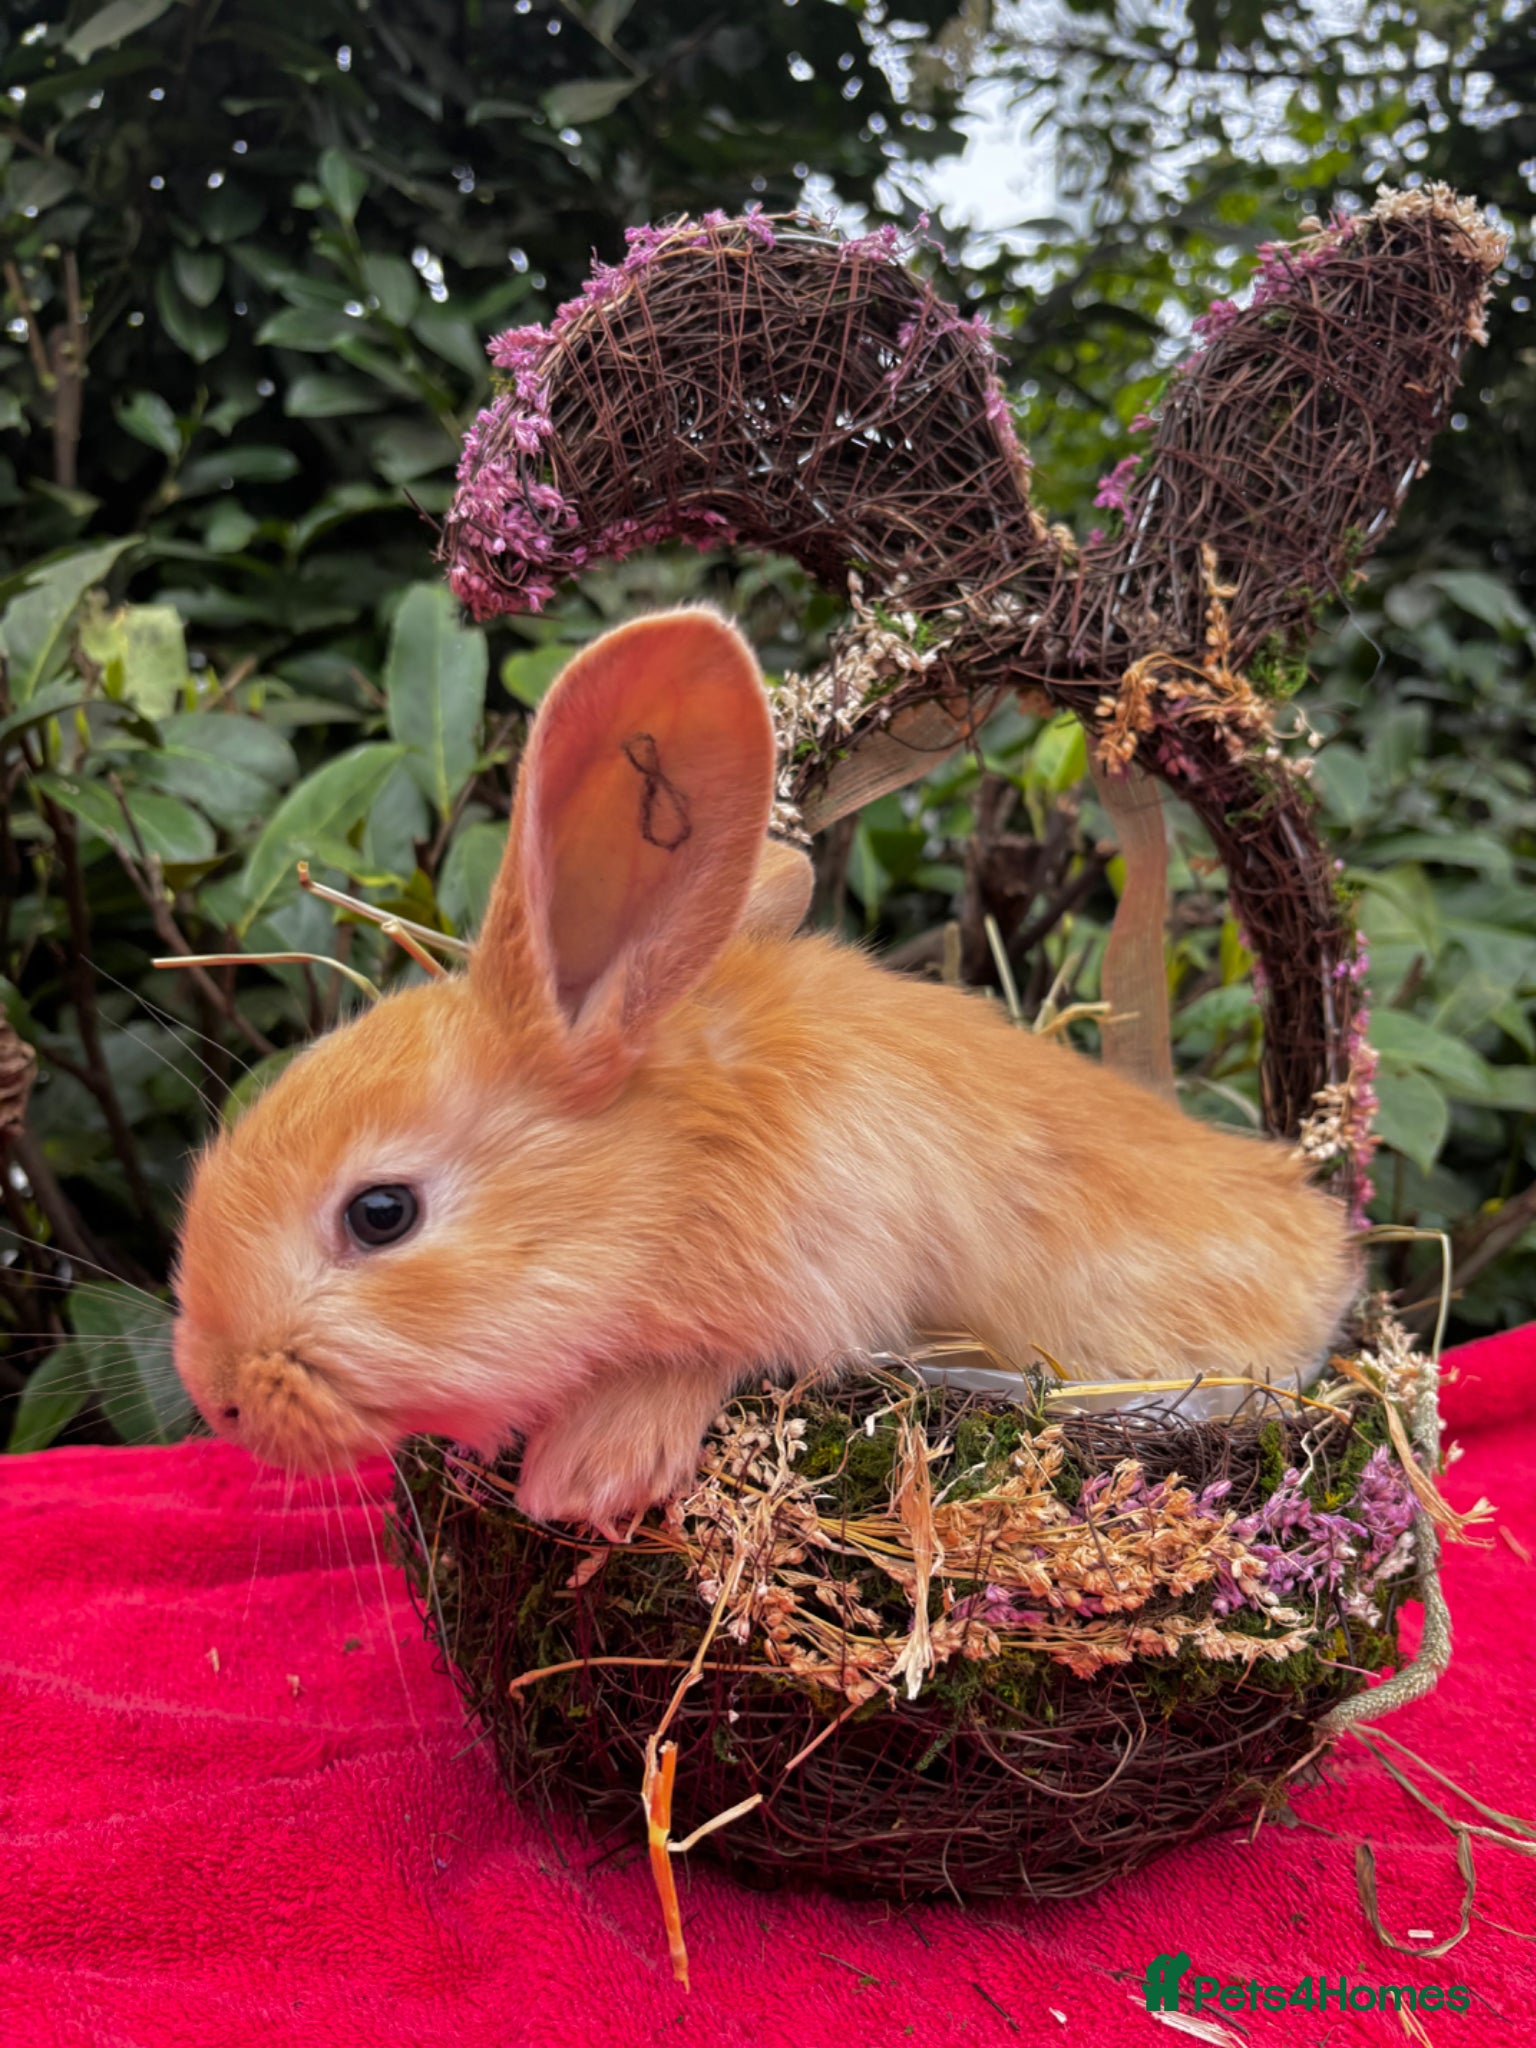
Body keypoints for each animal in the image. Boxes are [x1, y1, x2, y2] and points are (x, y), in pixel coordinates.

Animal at [173, 607, 1359, 1534]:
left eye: (381, 1214)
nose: (212, 1390)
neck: (677, 1162)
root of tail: (1330, 1249)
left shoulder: (826, 1270)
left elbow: (710, 1360)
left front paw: (589, 1472)